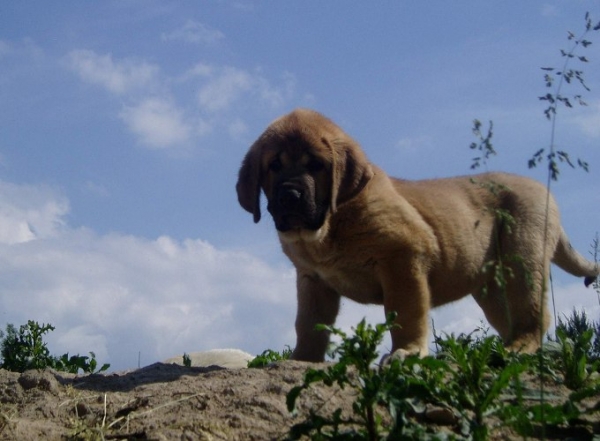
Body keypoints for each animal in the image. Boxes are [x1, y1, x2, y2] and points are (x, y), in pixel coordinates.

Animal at [237, 107, 596, 360]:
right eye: (274, 165)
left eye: (316, 165)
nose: (289, 195)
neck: (331, 224)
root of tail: (544, 192)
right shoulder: (313, 280)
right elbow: (309, 325)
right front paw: (301, 359)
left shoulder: (404, 259)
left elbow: (405, 312)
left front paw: (406, 352)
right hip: (493, 289)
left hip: (522, 263)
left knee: (533, 316)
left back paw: (519, 348)